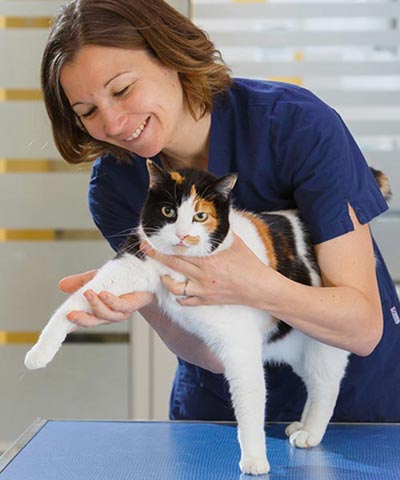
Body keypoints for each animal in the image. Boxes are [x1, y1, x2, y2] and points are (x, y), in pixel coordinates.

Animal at [24, 159, 390, 474]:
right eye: (169, 211)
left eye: (201, 216)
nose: (183, 235)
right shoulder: (132, 265)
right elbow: (73, 304)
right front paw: (39, 351)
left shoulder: (240, 346)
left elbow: (249, 401)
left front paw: (254, 458)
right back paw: (302, 423)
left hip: (323, 343)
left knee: (325, 388)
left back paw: (311, 432)